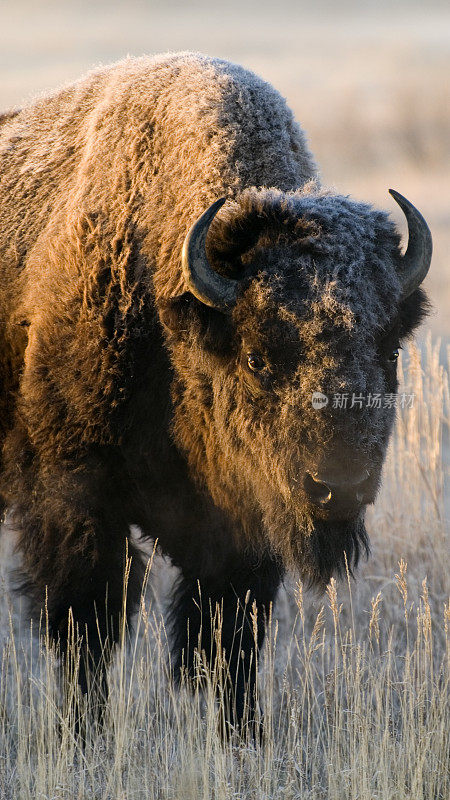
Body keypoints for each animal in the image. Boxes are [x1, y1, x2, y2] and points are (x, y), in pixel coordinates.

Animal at [0, 53, 432, 736]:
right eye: (257, 358)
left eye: (389, 352)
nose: (337, 487)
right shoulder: (76, 502)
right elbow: (86, 628)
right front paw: (83, 737)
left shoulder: (240, 533)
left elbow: (228, 640)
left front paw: (244, 735)